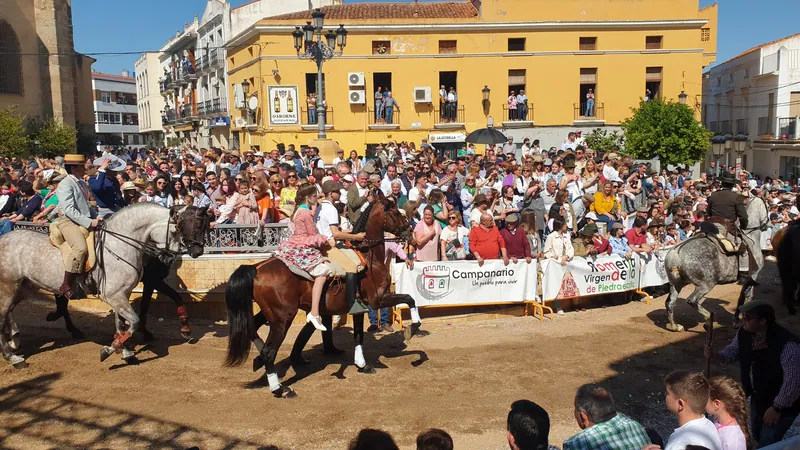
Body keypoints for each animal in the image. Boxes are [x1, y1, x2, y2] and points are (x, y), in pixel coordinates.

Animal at [0, 203, 209, 366]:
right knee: (4, 315)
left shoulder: (123, 293)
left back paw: (16, 340)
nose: (197, 251)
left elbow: (122, 324)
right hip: (9, 288)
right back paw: (12, 356)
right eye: (175, 230)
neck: (121, 244)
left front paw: (126, 352)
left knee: (11, 313)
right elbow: (134, 321)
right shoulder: (116, 295)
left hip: (24, 288)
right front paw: (109, 350)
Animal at [219, 190, 418, 398]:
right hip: (283, 318)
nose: (409, 233)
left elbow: (358, 336)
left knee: (253, 329)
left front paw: (362, 365)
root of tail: (256, 268)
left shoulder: (360, 308)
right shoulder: (377, 300)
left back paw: (260, 363)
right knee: (269, 351)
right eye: (396, 212)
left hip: (270, 313)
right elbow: (410, 299)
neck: (369, 255)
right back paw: (280, 388)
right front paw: (412, 328)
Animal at [664, 196, 768, 330]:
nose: (767, 224)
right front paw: (736, 320)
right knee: (692, 300)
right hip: (706, 284)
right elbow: (744, 297)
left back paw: (675, 326)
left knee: (670, 302)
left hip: (676, 283)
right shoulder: (752, 275)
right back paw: (708, 320)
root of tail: (676, 254)